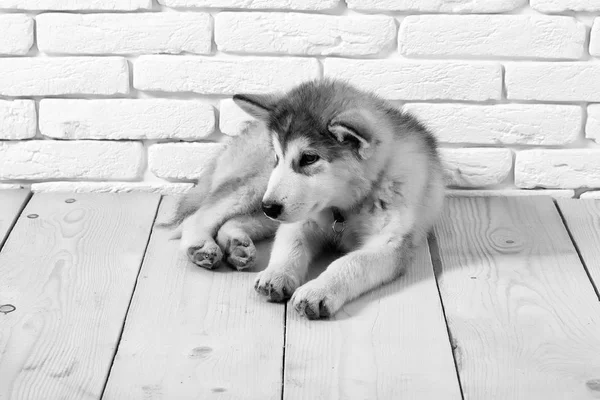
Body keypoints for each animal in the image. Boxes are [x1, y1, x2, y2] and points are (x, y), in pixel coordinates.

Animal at [164, 79, 446, 320]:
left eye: (309, 158)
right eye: (277, 157)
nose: (269, 207)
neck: (346, 206)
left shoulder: (391, 243)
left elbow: (351, 262)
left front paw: (318, 290)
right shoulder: (300, 219)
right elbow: (291, 246)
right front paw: (277, 274)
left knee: (235, 220)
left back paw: (237, 245)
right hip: (257, 186)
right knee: (199, 216)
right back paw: (202, 245)